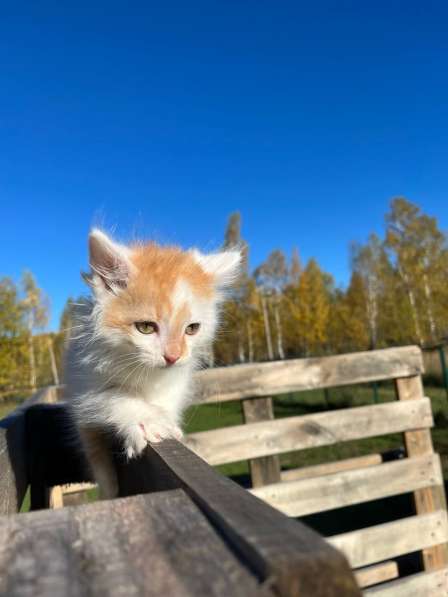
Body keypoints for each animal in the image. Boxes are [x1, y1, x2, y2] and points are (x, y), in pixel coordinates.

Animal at [64, 229, 240, 498]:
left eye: (192, 329)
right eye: (145, 327)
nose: (173, 356)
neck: (147, 373)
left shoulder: (176, 381)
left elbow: (166, 400)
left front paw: (168, 423)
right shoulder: (83, 383)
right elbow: (113, 397)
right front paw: (149, 422)